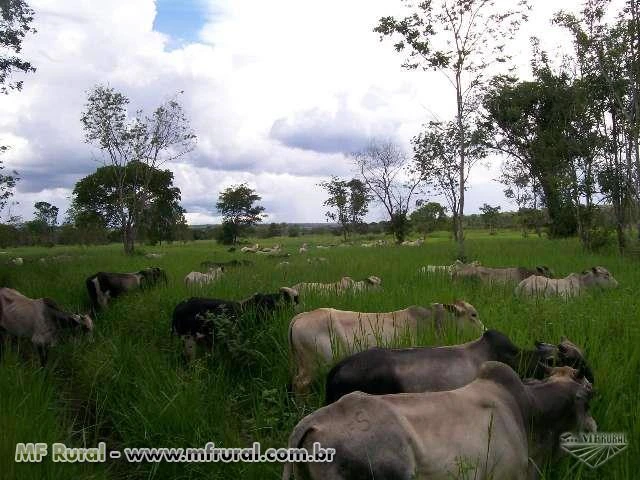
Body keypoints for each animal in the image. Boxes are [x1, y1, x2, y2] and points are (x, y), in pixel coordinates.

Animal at [288, 300, 482, 394]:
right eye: (473, 314)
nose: (484, 330)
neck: (433, 321)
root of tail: (301, 316)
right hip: (313, 366)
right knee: (300, 384)